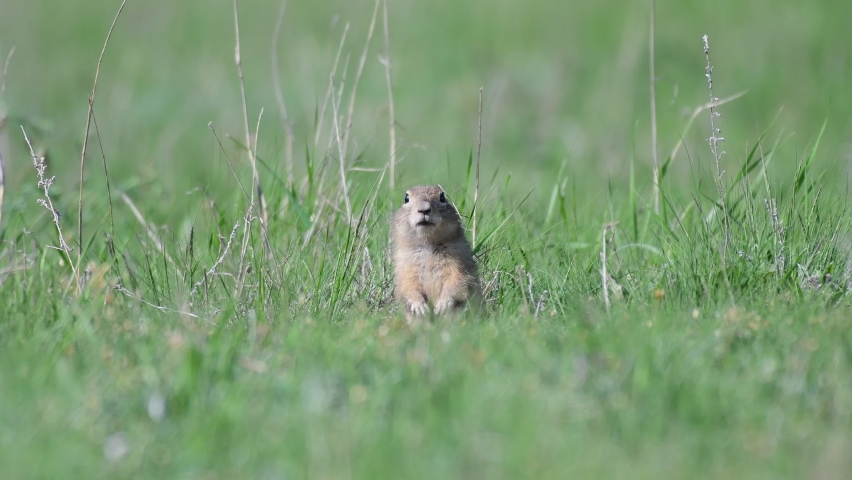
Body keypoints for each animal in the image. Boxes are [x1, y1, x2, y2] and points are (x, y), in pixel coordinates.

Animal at [391, 185, 481, 322]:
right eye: (406, 198)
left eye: (442, 197)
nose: (423, 209)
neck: (428, 243)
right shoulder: (405, 263)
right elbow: (407, 284)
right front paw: (419, 306)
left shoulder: (458, 257)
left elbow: (457, 279)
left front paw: (442, 304)